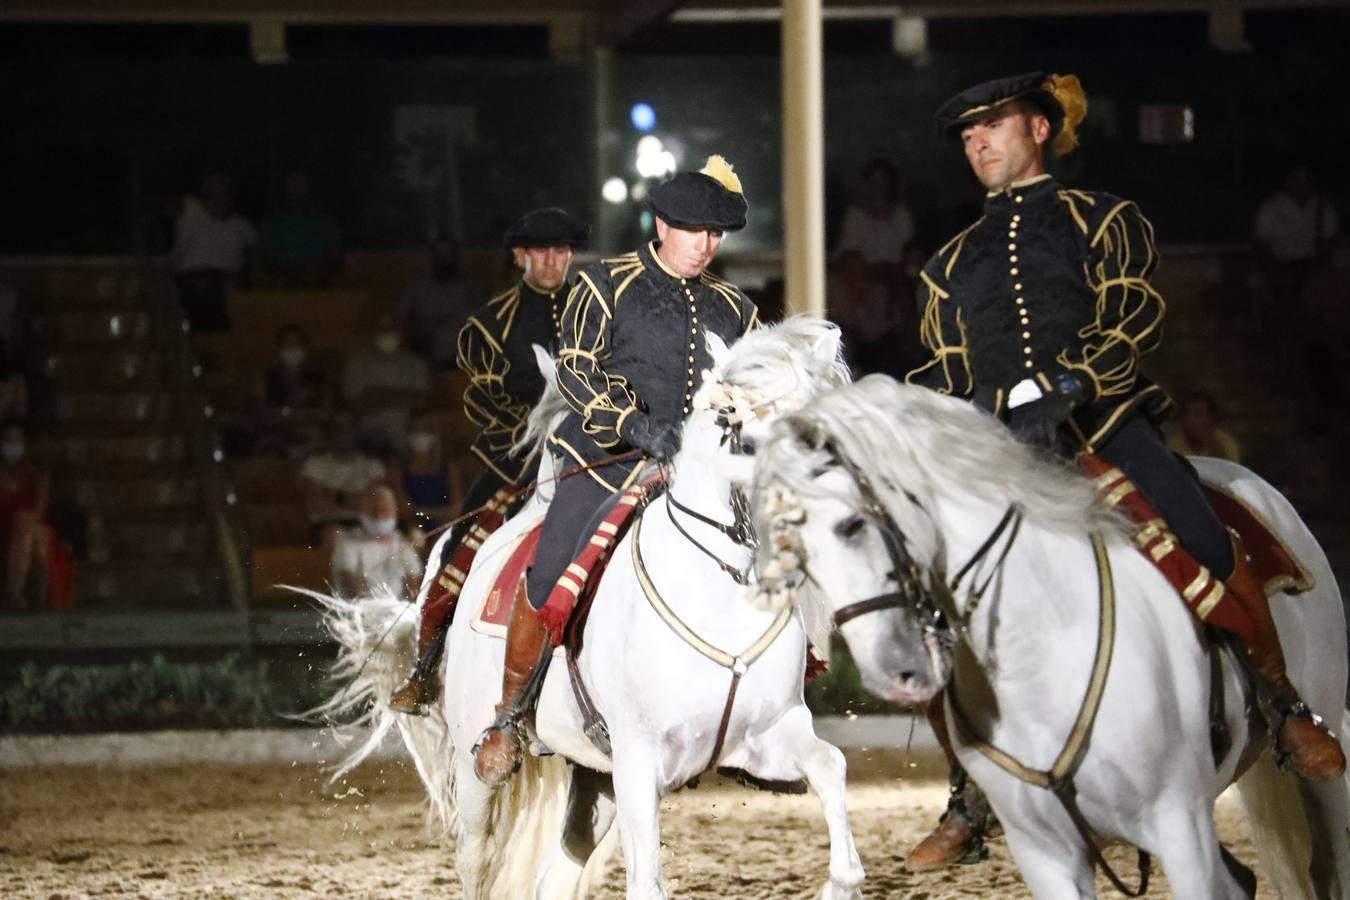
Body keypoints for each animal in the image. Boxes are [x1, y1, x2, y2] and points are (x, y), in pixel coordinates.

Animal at [317, 319, 864, 895]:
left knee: (554, 876)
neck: (717, 599)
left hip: (593, 779)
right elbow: (646, 883)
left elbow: (832, 768)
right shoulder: (638, 762)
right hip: (477, 768)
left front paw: (840, 882)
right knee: (474, 857)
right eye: (732, 419)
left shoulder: (770, 733)